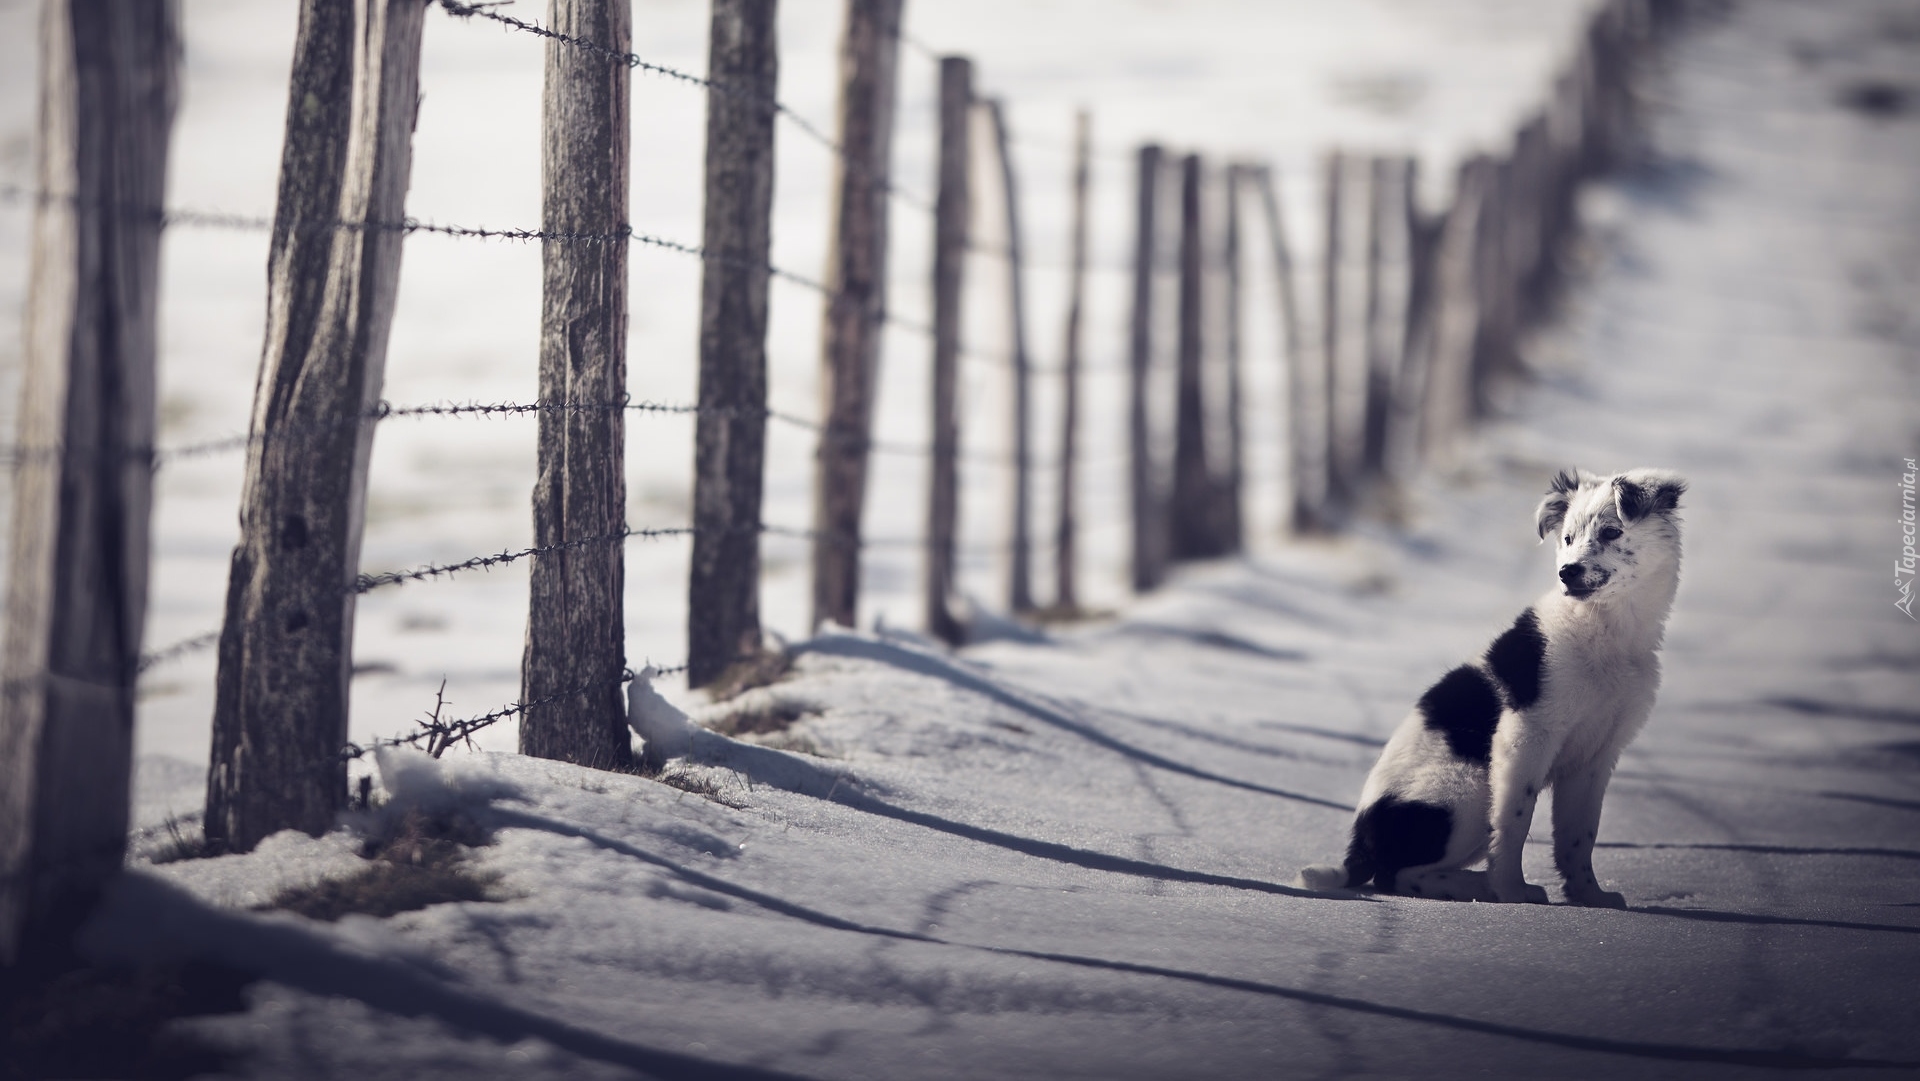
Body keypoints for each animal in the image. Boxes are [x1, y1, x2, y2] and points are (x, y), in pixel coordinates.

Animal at [1297, 470, 1689, 910]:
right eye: (1568, 538)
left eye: (1611, 532)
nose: (1567, 572)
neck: (1606, 629)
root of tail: (1360, 845)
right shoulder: (1525, 736)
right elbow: (1514, 822)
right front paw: (1512, 891)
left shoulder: (1595, 757)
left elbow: (1579, 835)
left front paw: (1589, 895)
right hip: (1466, 792)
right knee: (1397, 875)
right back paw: (1479, 888)